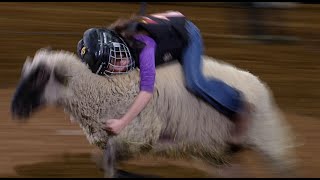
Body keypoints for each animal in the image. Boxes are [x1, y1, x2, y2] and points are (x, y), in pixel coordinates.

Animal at [11, 48, 298, 178]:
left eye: (38, 78)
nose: (14, 110)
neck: (102, 90)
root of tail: (258, 83)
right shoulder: (118, 140)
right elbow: (104, 163)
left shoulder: (136, 135)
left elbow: (109, 165)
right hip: (220, 152)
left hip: (267, 139)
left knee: (284, 169)